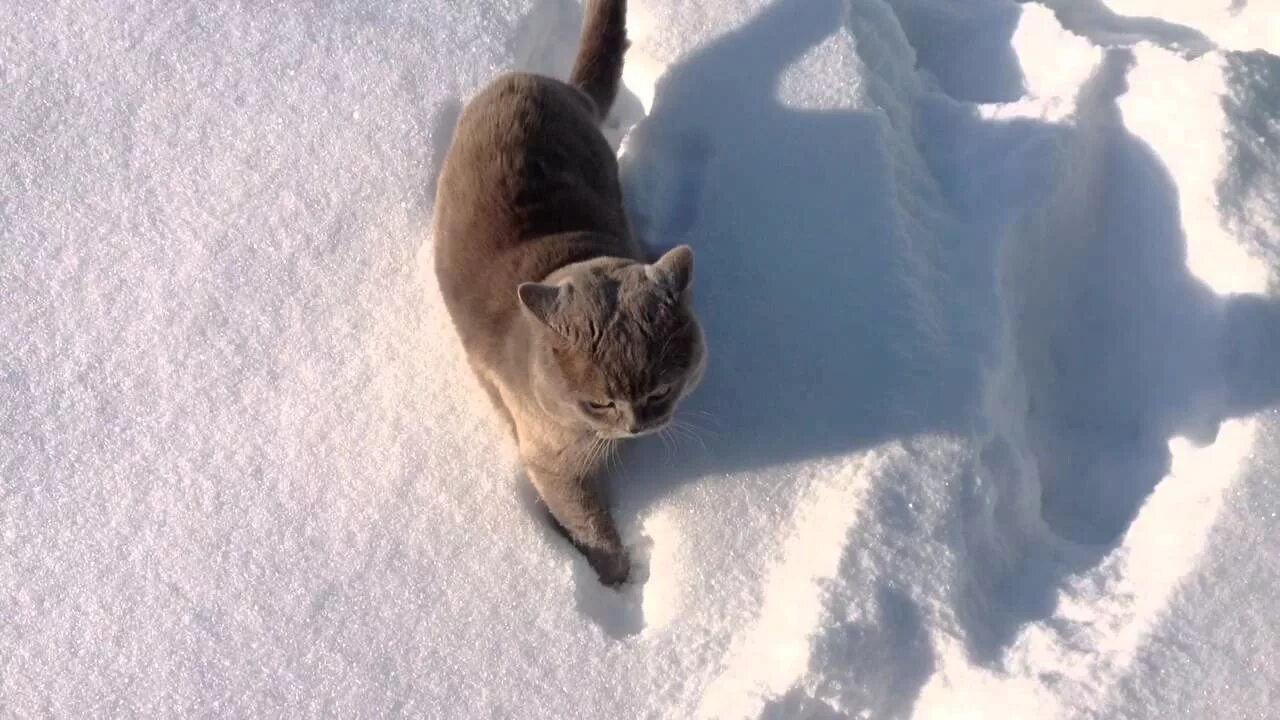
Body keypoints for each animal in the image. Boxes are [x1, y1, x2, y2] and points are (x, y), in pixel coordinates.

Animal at [432, 0, 711, 584]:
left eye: (660, 392)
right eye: (600, 402)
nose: (637, 426)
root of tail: (538, 80)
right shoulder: (551, 462)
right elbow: (587, 523)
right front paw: (615, 578)